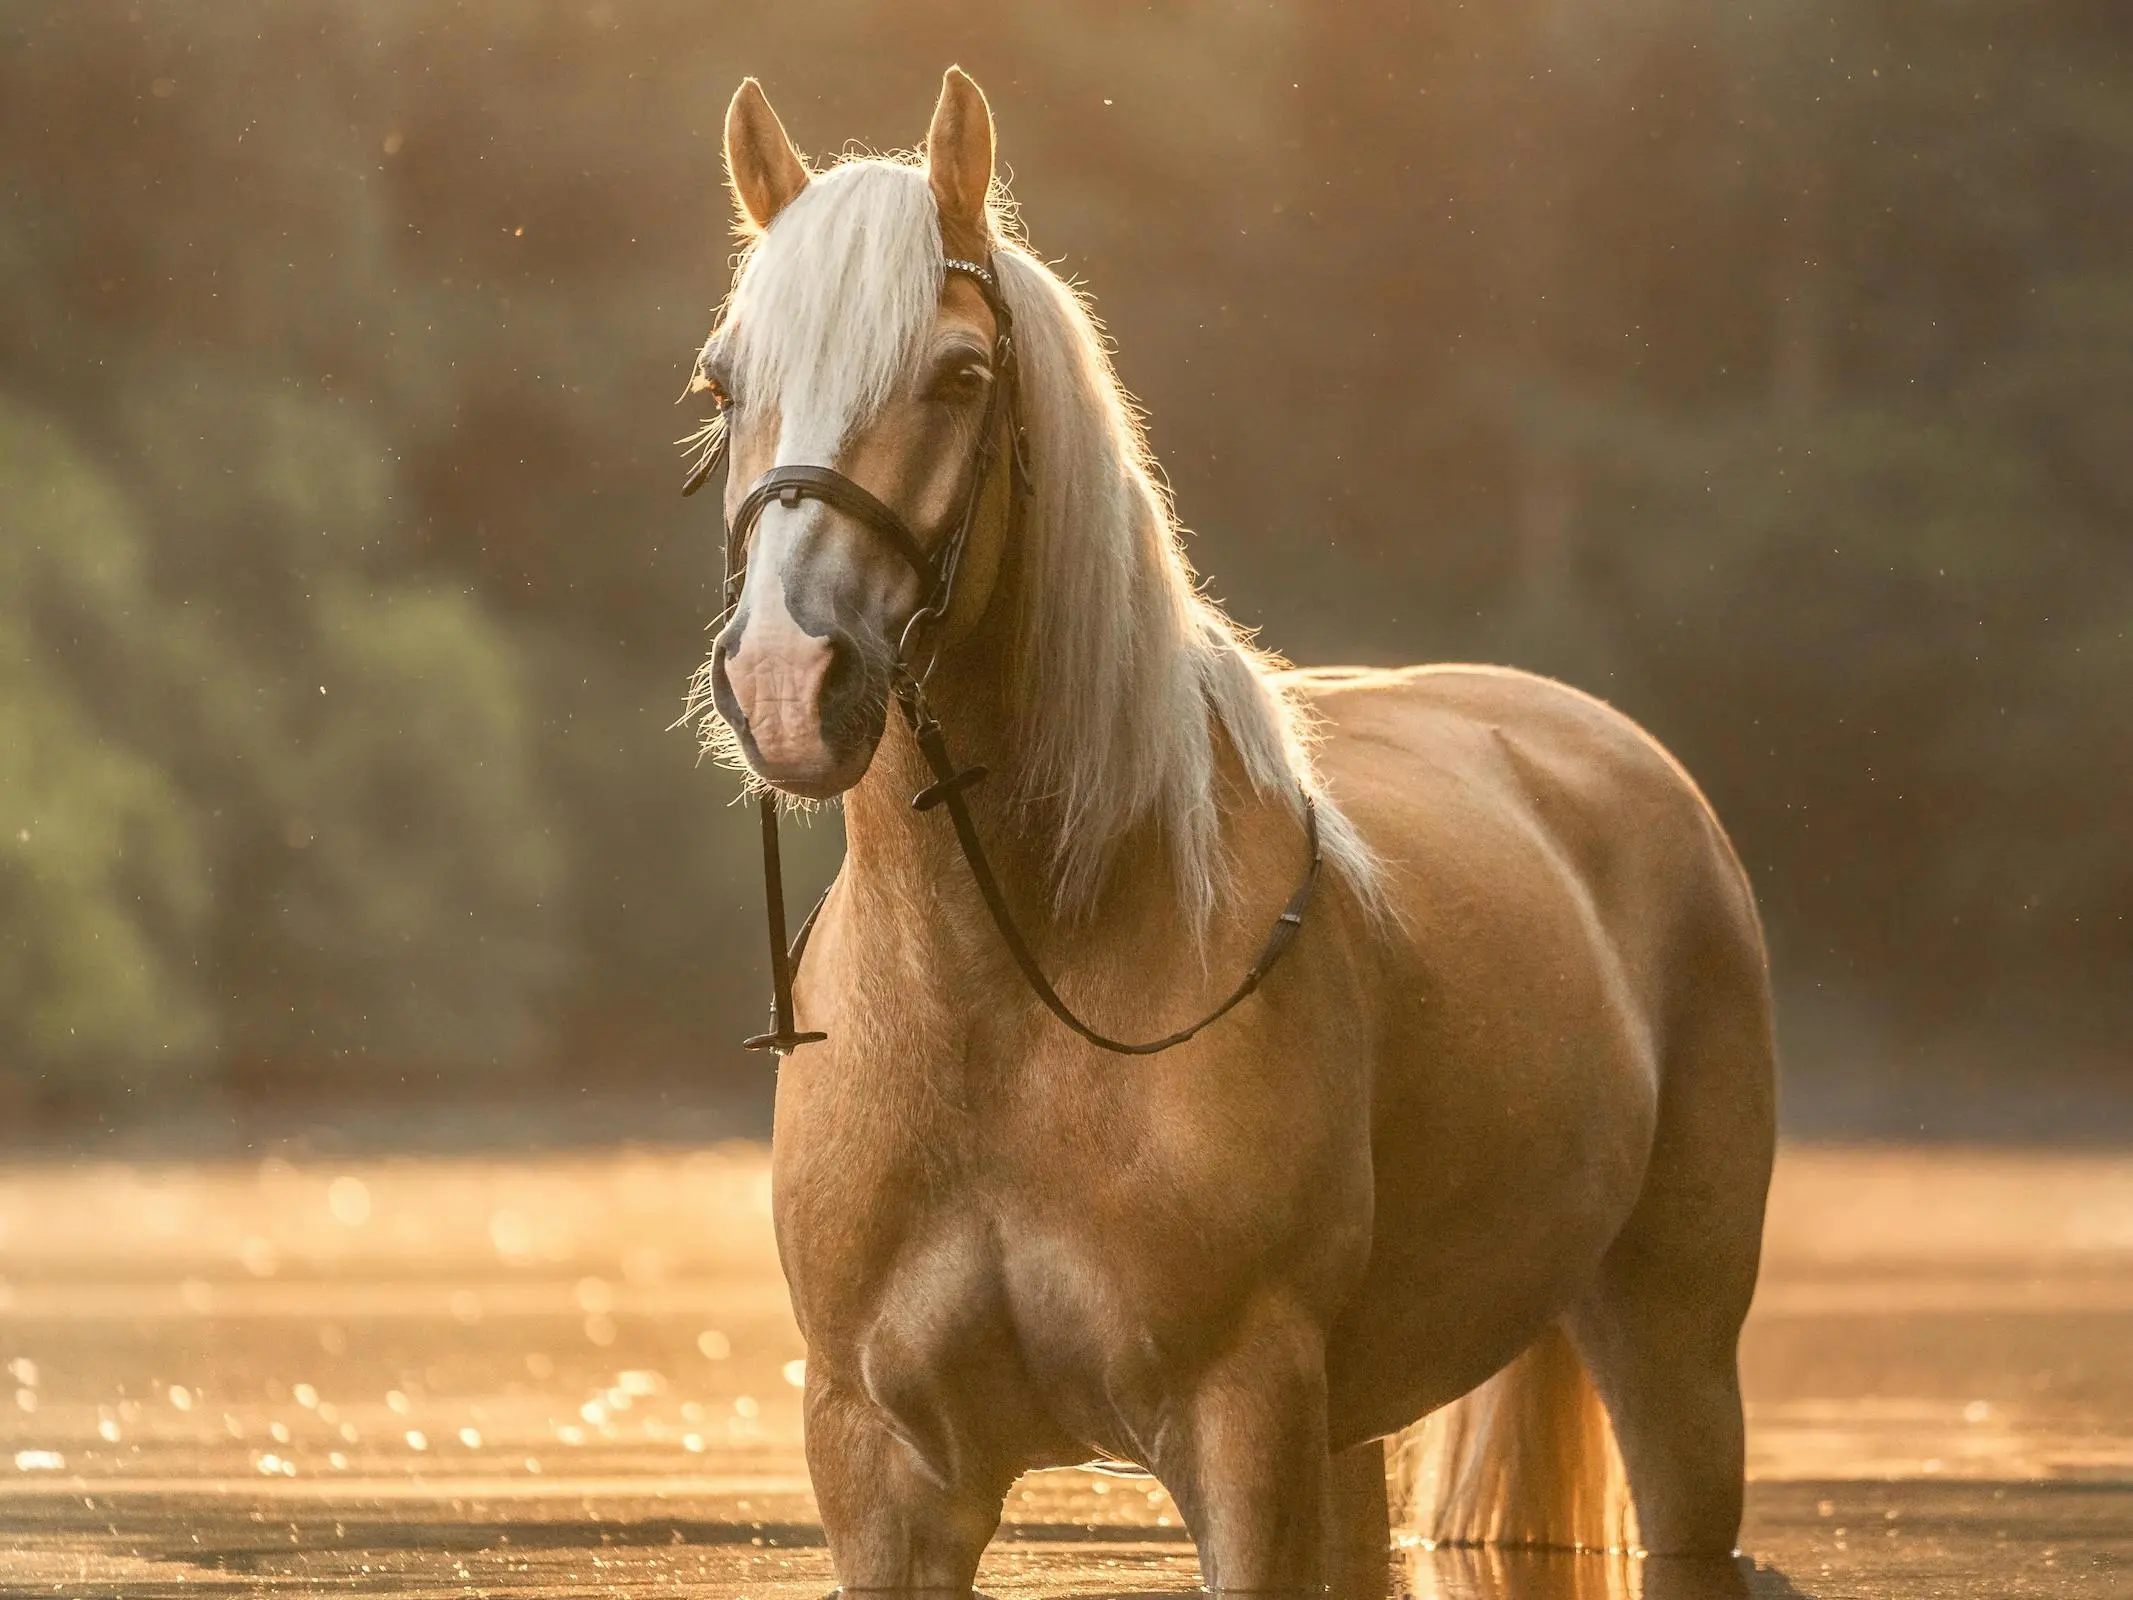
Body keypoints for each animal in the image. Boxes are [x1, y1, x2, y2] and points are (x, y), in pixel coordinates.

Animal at [678, 68, 1766, 1595]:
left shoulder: (1238, 1425)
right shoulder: (882, 1474)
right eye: (724, 385)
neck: (1006, 999)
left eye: (958, 377)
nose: (787, 677)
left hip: (1673, 1348)